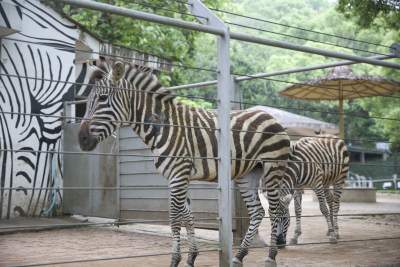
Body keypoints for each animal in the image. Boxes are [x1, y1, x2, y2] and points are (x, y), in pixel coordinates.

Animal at [78, 59, 290, 266]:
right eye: (87, 102)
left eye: (103, 98)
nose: (81, 139)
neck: (163, 126)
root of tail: (269, 116)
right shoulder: (178, 176)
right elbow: (188, 216)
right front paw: (191, 258)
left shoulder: (179, 174)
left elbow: (174, 218)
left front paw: (175, 260)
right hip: (249, 173)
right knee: (257, 211)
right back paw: (240, 255)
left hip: (272, 167)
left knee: (274, 209)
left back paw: (271, 256)